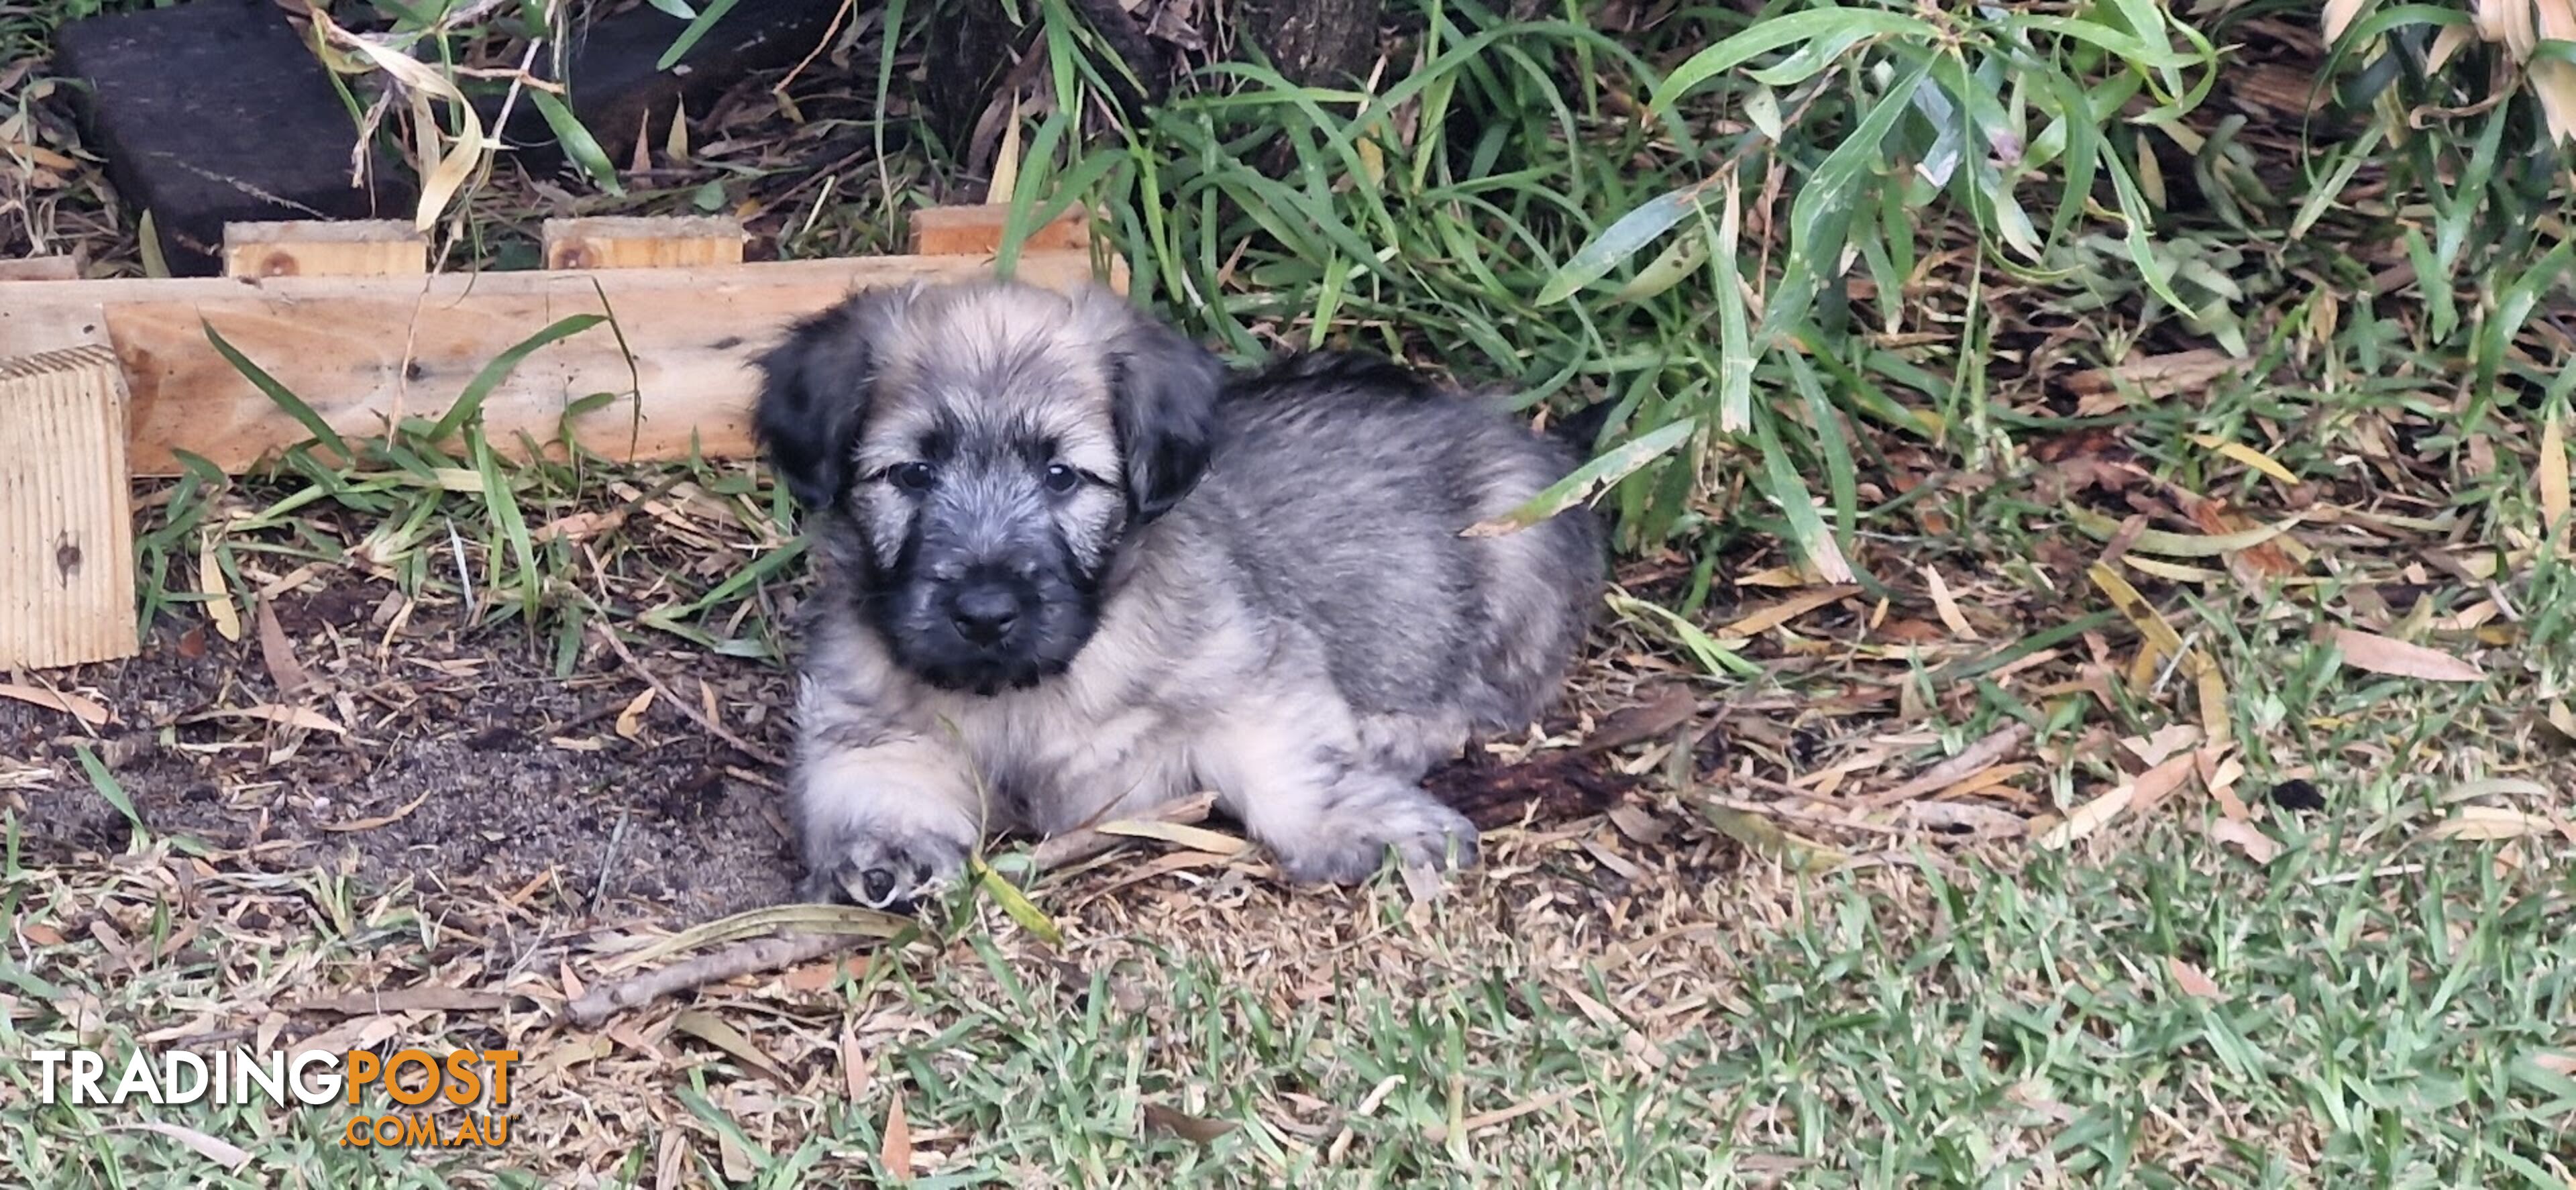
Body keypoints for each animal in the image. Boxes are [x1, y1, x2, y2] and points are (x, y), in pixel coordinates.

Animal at [747, 279, 1597, 906]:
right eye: (914, 474)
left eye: (1062, 475)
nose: (985, 615)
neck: (1026, 694)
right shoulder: (863, 713)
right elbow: (874, 779)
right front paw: (888, 850)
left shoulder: (1251, 668)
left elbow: (1291, 763)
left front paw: (1363, 823)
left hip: (1515, 546)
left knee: (1486, 701)